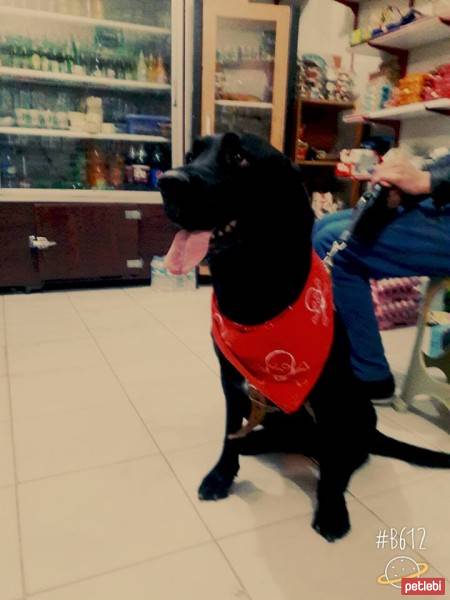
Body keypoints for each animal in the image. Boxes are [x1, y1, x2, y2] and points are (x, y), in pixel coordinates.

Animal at [159, 135, 450, 544]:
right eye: (191, 155)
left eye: (239, 157)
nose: (168, 182)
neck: (252, 297)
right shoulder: (231, 381)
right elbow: (229, 435)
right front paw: (221, 475)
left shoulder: (329, 398)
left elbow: (331, 467)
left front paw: (331, 509)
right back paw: (255, 441)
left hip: (354, 408)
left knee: (344, 455)